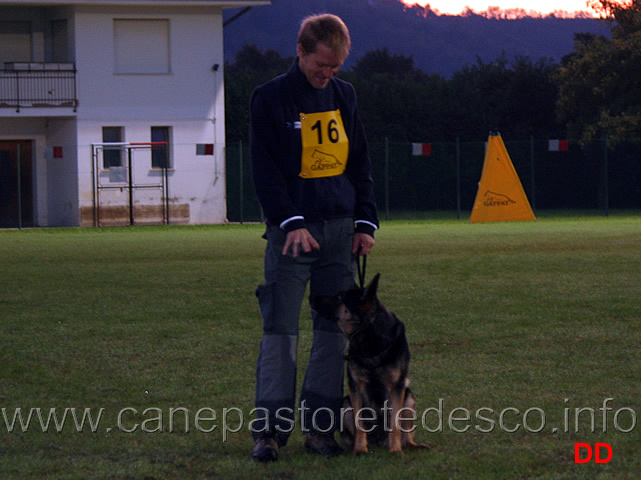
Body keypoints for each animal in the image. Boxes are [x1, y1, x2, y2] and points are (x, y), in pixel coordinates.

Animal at [308, 274, 428, 454]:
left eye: (339, 298)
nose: (310, 297)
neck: (368, 335)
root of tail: (379, 440)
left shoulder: (396, 387)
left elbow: (395, 424)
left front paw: (395, 450)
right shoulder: (355, 387)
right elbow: (359, 423)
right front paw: (360, 449)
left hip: (409, 398)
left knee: (405, 435)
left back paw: (410, 445)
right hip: (345, 405)